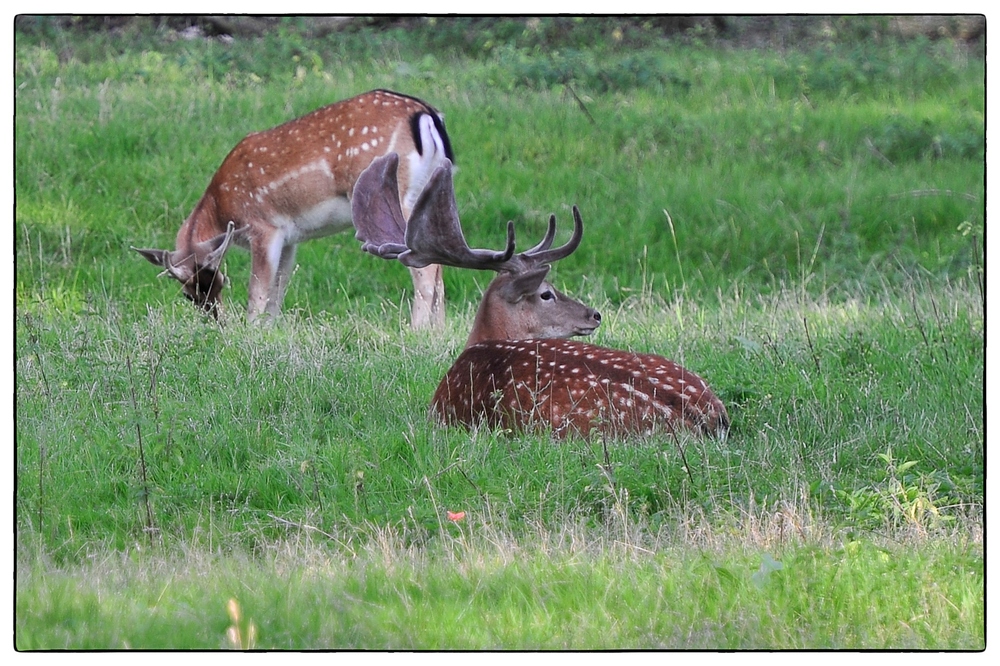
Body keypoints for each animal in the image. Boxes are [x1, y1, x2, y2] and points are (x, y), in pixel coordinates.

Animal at [134, 88, 458, 326]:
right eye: (188, 295)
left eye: (222, 281)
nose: (216, 320)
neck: (220, 205)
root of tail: (427, 116)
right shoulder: (290, 237)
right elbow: (278, 289)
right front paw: (269, 331)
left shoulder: (264, 226)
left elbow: (258, 291)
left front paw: (251, 332)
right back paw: (438, 332)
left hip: (394, 194)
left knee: (425, 266)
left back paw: (416, 330)